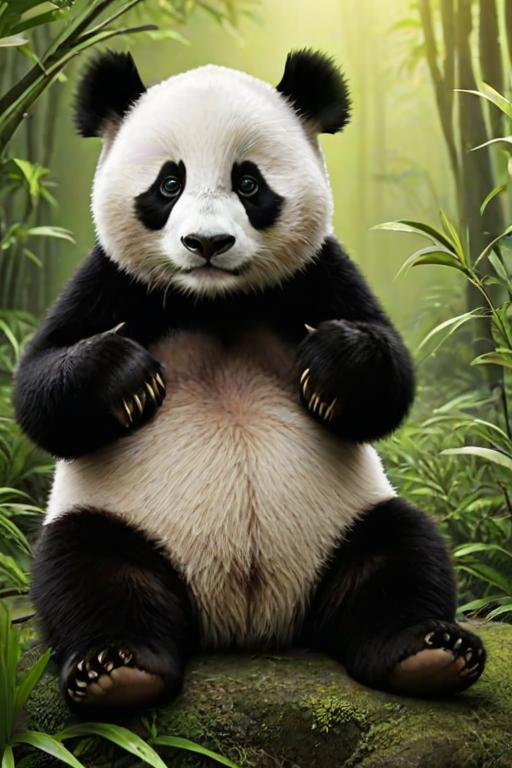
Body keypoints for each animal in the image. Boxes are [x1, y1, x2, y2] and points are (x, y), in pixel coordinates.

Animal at [13, 49, 485, 712]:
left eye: (248, 182)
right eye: (169, 183)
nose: (207, 243)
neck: (217, 302)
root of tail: (247, 623)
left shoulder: (319, 272)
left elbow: (389, 378)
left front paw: (329, 366)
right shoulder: (110, 280)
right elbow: (40, 389)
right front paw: (130, 380)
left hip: (347, 522)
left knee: (402, 552)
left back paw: (428, 652)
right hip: (120, 522)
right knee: (86, 570)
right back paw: (117, 669)